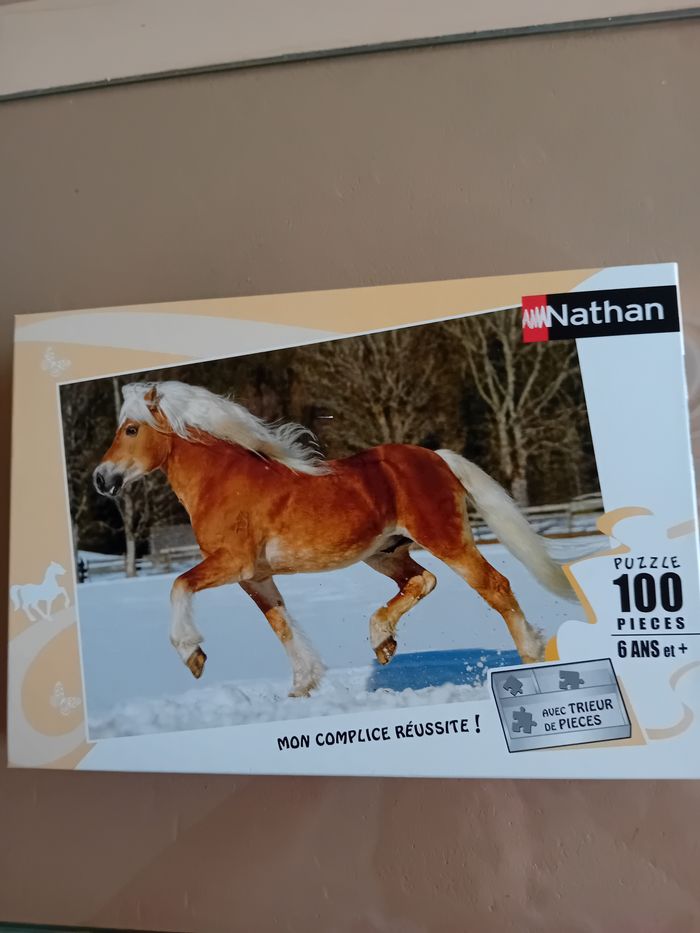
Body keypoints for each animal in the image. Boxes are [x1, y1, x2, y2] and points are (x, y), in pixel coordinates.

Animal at [93, 380, 579, 697]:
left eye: (131, 430)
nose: (102, 478)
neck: (221, 481)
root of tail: (435, 457)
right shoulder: (255, 576)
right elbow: (281, 625)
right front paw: (303, 686)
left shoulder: (233, 563)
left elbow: (179, 584)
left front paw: (192, 654)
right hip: (383, 552)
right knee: (422, 581)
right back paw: (382, 642)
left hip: (446, 539)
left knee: (494, 585)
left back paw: (531, 654)